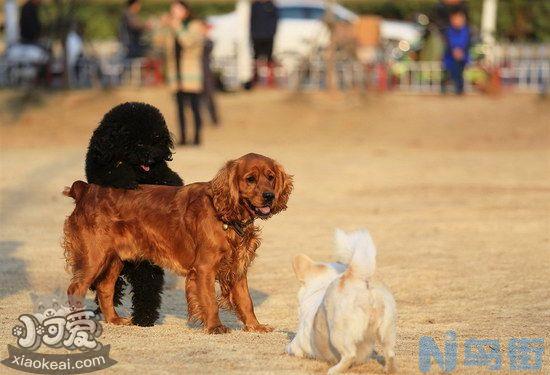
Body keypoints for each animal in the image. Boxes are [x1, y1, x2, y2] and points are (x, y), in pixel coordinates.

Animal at [286, 231, 398, 374]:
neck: (323, 285)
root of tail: (358, 276)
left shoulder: (297, 343)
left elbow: (290, 348)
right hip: (387, 330)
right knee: (390, 353)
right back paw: (389, 369)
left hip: (339, 333)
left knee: (350, 355)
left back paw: (335, 370)